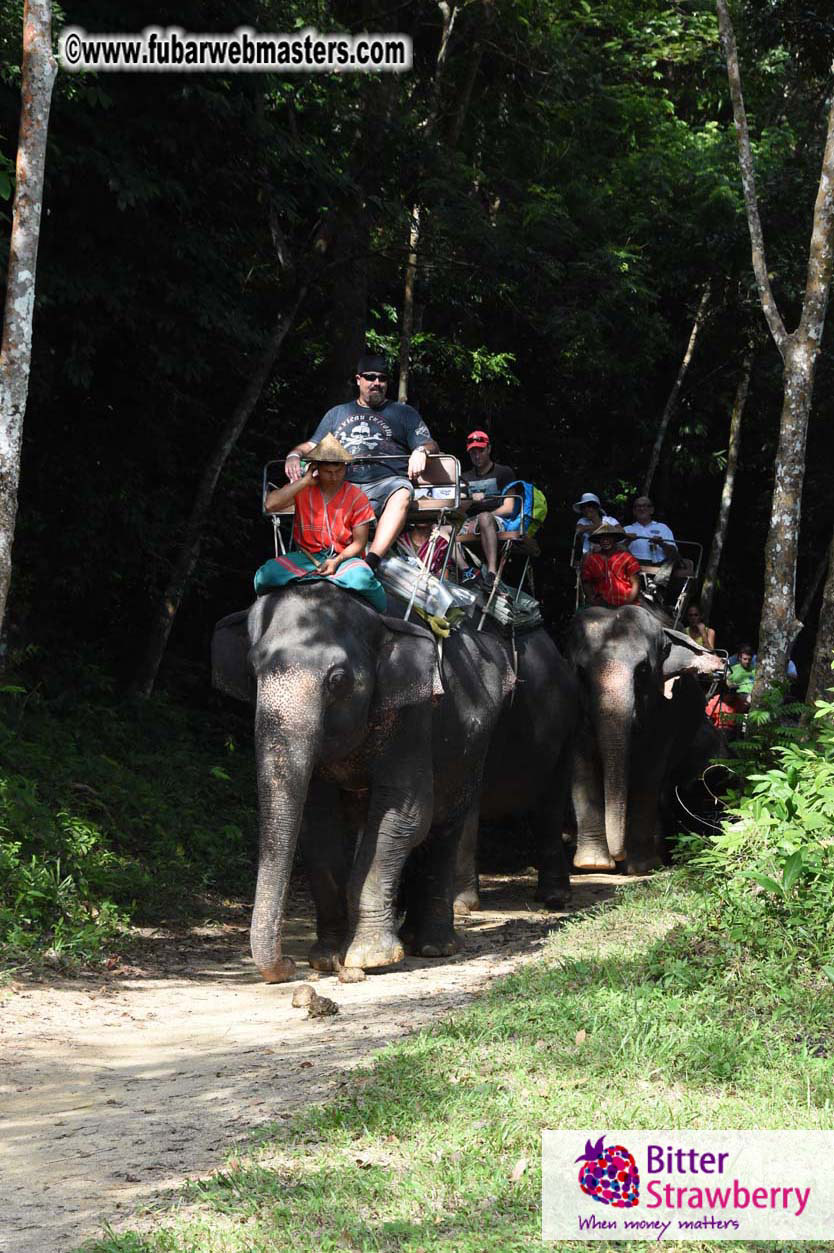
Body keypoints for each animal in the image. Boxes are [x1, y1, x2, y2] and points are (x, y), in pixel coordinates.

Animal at [212, 580, 512, 982]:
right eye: (252, 670)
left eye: (338, 680)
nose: (287, 964)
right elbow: (317, 824)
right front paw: (327, 959)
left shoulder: (413, 716)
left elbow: (405, 815)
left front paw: (370, 957)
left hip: (472, 747)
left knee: (443, 826)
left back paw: (434, 947)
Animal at [566, 604, 725, 874]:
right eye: (580, 672)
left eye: (642, 670)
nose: (618, 857)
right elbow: (582, 767)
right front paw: (593, 865)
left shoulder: (666, 712)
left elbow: (649, 773)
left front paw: (642, 866)